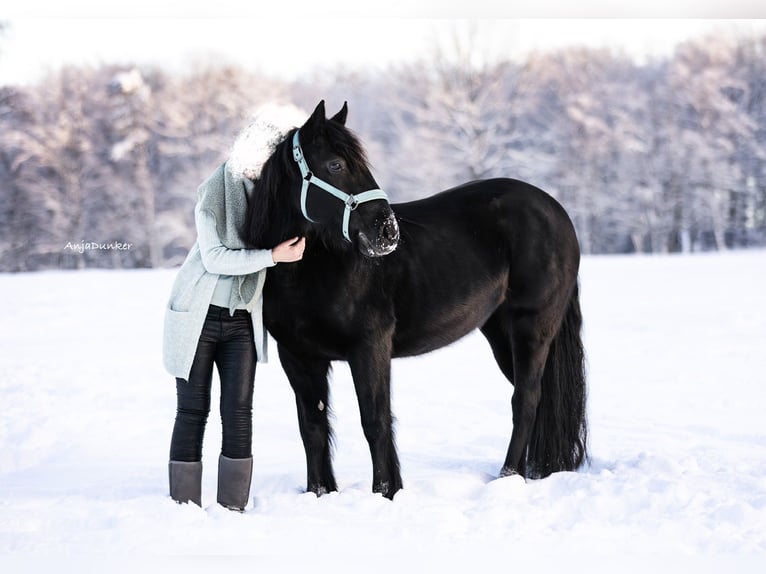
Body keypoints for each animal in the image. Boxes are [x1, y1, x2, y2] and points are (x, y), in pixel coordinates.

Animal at [245, 101, 587, 499]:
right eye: (335, 165)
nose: (387, 231)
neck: (314, 268)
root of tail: (555, 209)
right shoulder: (298, 357)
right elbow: (312, 427)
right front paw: (320, 493)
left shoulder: (369, 347)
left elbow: (375, 421)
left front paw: (386, 492)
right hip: (502, 334)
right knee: (538, 398)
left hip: (531, 329)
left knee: (527, 401)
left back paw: (507, 476)